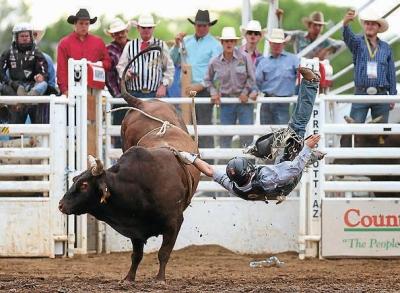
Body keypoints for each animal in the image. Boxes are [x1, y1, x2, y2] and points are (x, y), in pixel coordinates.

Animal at [59, 46, 200, 282]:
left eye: (84, 185)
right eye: (75, 179)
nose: (61, 205)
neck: (138, 186)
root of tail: (143, 102)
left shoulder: (174, 222)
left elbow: (164, 252)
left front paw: (160, 278)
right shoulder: (134, 227)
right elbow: (137, 254)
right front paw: (129, 277)